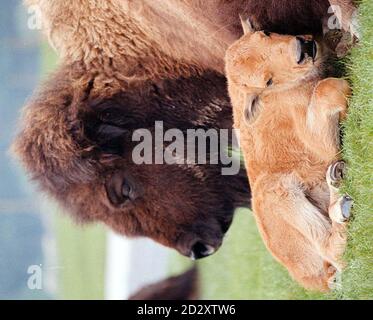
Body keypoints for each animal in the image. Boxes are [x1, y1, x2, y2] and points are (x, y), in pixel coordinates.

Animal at [224, 18, 352, 292]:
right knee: (334, 251)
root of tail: (314, 281)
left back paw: (337, 182)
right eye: (267, 81)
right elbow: (326, 89)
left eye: (266, 33)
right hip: (277, 193)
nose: (302, 49)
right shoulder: (322, 145)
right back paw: (342, 205)